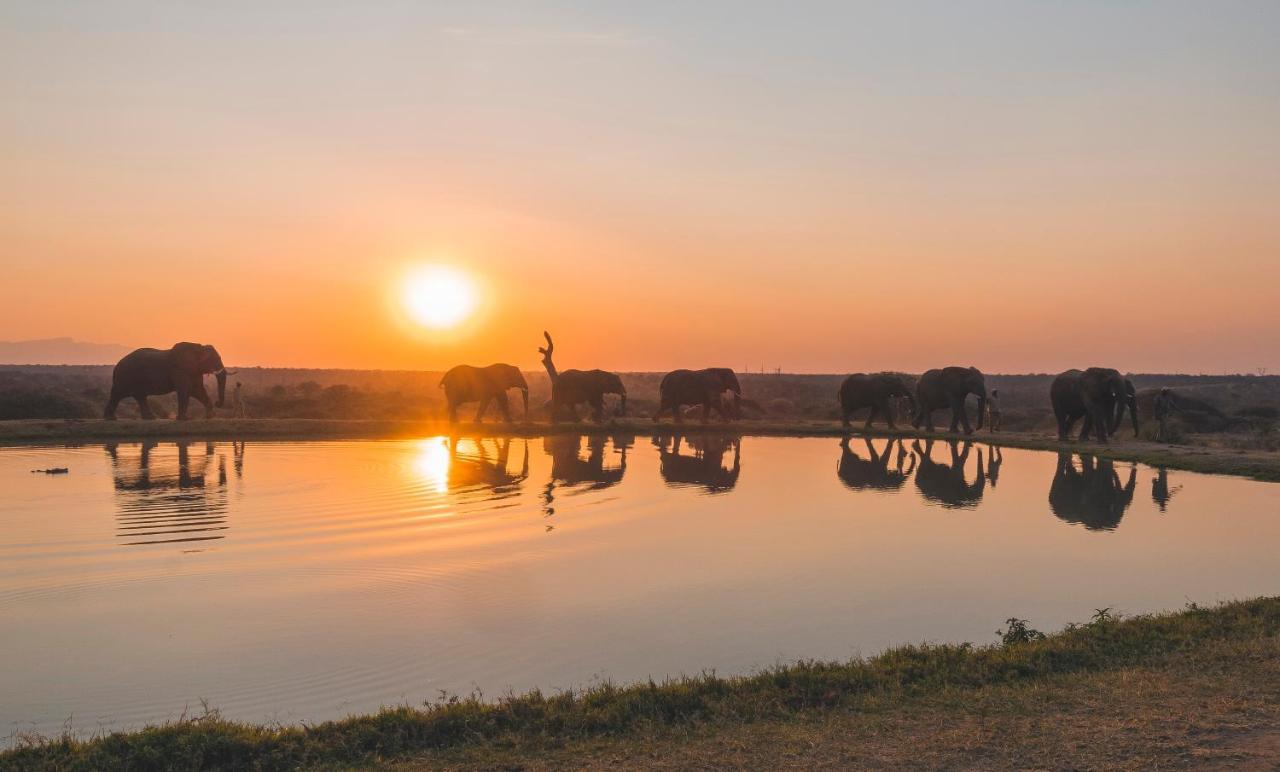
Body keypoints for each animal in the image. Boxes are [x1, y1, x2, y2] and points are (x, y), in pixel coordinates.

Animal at [103, 340, 231, 419]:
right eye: (215, 359)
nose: (218, 403)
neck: (198, 348)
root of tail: (117, 365)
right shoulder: (180, 369)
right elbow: (186, 391)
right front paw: (185, 419)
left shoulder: (194, 371)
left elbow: (198, 391)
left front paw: (210, 416)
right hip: (125, 376)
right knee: (117, 394)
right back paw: (110, 418)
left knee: (140, 397)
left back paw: (150, 418)